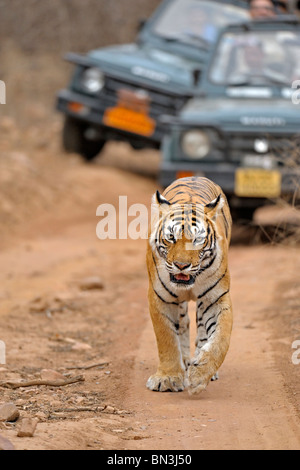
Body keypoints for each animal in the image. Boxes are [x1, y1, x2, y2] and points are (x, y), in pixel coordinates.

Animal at [146, 175, 233, 392]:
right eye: (171, 237)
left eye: (197, 240)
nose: (181, 265)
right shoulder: (160, 298)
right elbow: (167, 338)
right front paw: (167, 378)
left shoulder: (216, 299)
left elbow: (221, 338)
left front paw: (200, 374)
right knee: (183, 324)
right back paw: (185, 360)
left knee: (201, 328)